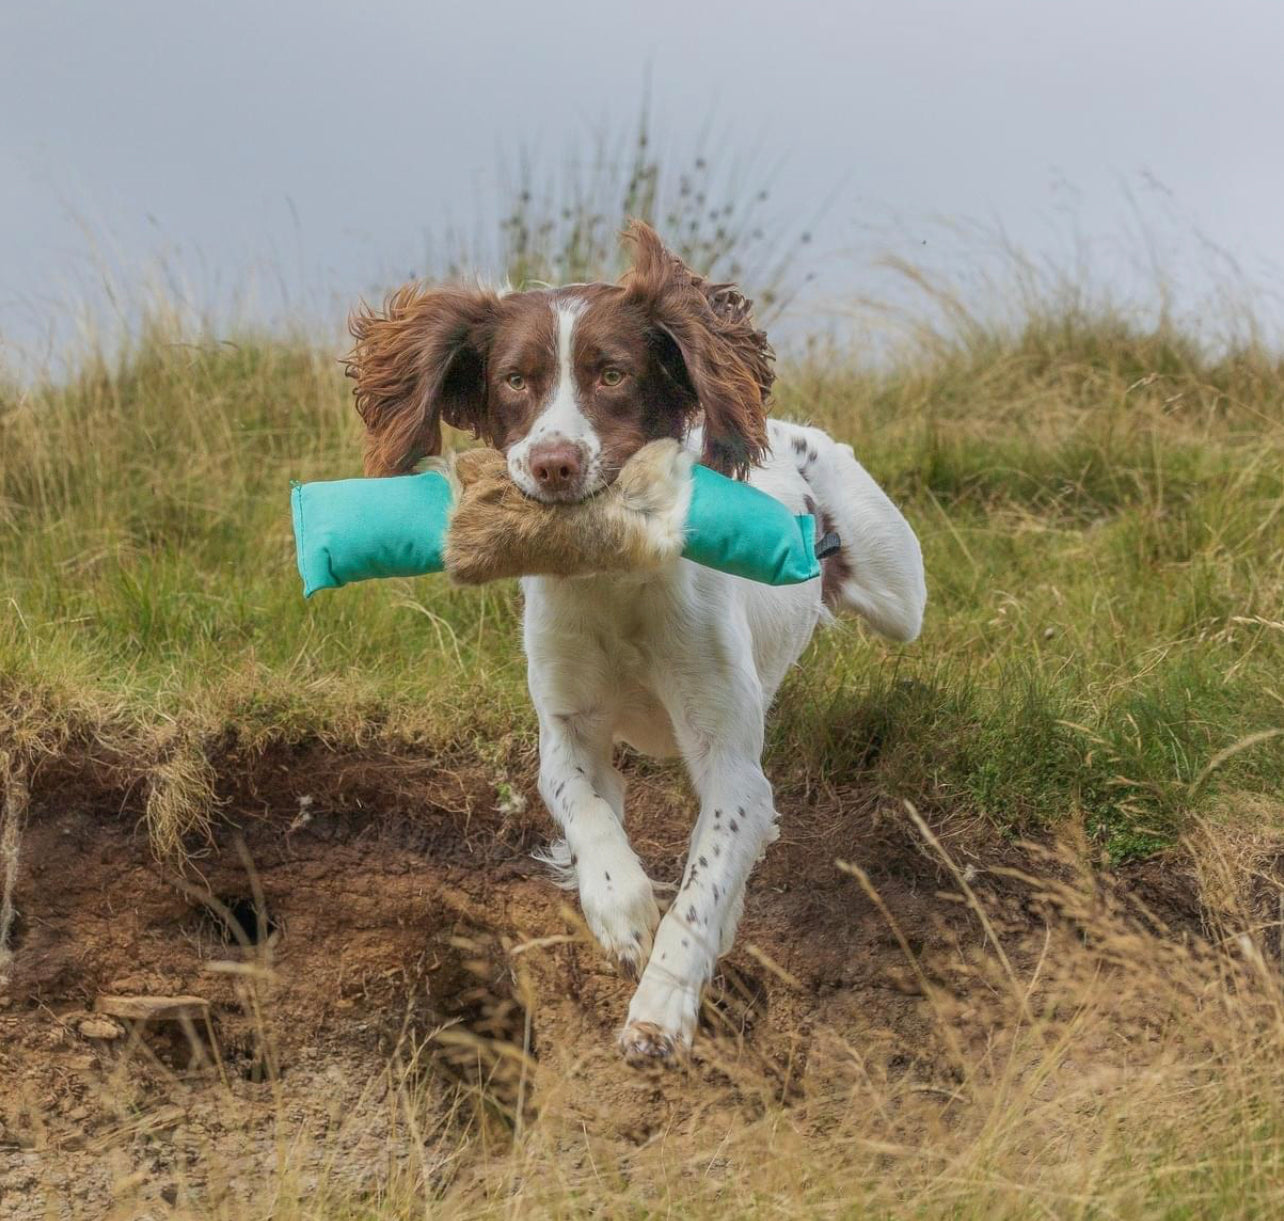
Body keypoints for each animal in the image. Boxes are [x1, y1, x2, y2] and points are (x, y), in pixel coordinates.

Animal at [344, 219, 924, 1057]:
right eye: (514, 380)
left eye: (612, 373)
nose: (553, 463)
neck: (612, 579)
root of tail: (789, 431)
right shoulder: (567, 726)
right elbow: (585, 811)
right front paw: (619, 910)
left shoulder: (730, 758)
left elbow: (705, 879)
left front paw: (661, 1007)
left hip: (897, 592)